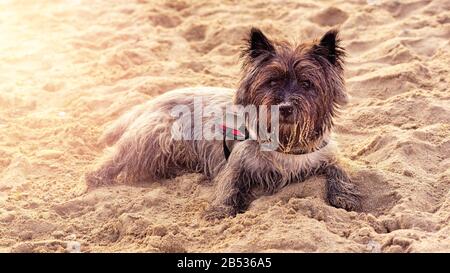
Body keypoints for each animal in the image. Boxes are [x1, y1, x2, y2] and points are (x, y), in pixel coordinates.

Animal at [86, 27, 362, 219]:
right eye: (271, 81)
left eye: (307, 84)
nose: (284, 107)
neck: (285, 141)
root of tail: (157, 99)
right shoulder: (235, 161)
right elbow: (229, 184)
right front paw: (220, 209)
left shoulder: (328, 153)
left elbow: (339, 169)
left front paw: (345, 196)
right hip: (153, 138)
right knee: (117, 156)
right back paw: (93, 178)